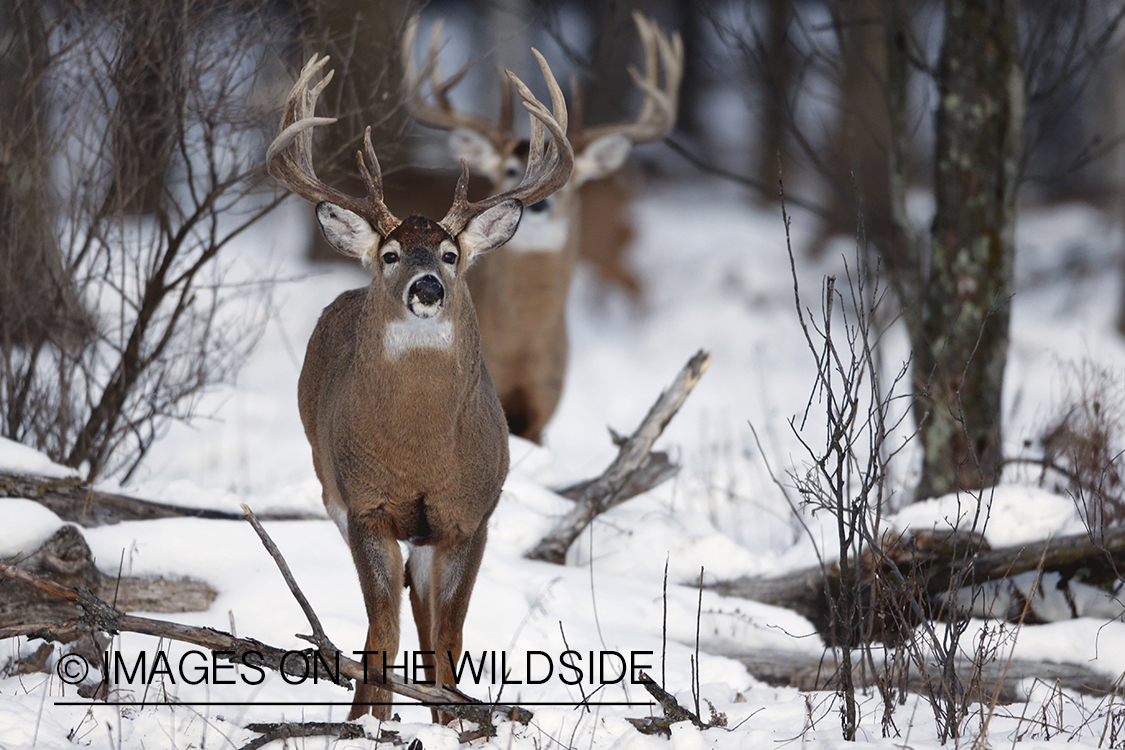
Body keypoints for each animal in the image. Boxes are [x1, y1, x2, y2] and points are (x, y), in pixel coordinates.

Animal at [267, 52, 571, 719]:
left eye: (451, 254)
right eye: (391, 253)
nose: (426, 286)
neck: (421, 451)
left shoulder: (469, 515)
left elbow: (449, 634)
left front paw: (459, 716)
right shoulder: (366, 505)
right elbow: (380, 630)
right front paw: (366, 722)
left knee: (427, 617)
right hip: (331, 486)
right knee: (399, 612)